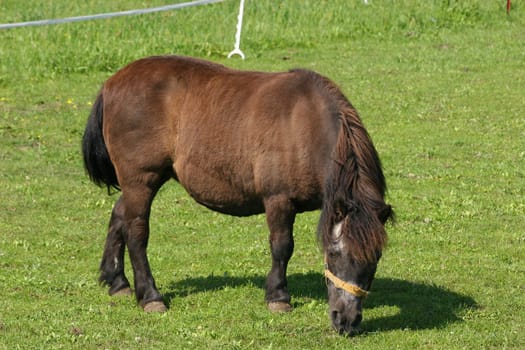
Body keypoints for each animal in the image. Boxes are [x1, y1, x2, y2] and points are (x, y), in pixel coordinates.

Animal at [82, 55, 390, 336]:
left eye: (375, 258)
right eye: (334, 253)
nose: (346, 321)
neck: (306, 125)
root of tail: (111, 83)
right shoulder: (279, 200)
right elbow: (282, 247)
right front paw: (278, 297)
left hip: (141, 183)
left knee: (119, 216)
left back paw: (117, 282)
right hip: (141, 181)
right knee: (136, 234)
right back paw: (149, 296)